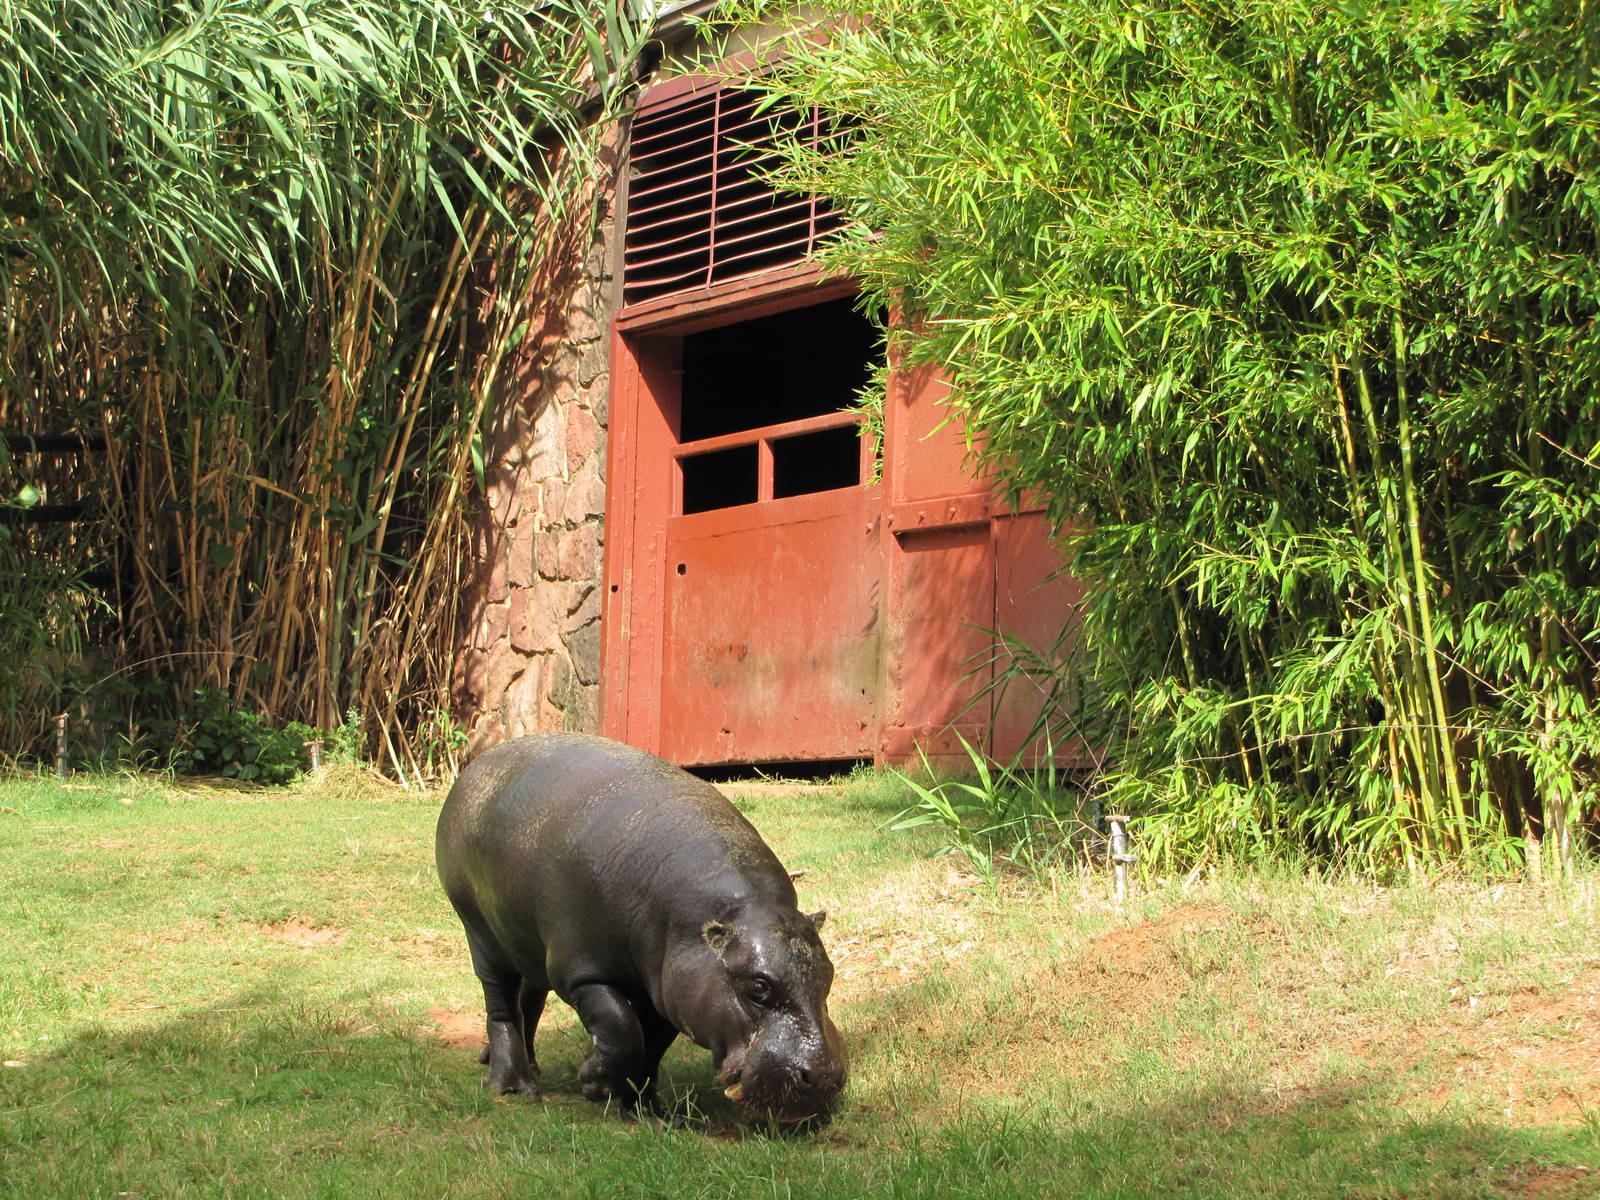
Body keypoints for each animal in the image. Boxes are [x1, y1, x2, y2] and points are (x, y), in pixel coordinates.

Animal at [435, 732, 847, 1123]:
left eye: (829, 975)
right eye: (758, 986)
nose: (824, 1076)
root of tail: (478, 764)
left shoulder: (671, 990)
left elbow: (650, 1050)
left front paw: (649, 1114)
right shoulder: (582, 972)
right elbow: (623, 1029)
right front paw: (594, 1084)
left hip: (527, 941)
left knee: (530, 998)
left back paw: (529, 1067)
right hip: (480, 931)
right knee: (501, 1004)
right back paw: (513, 1086)